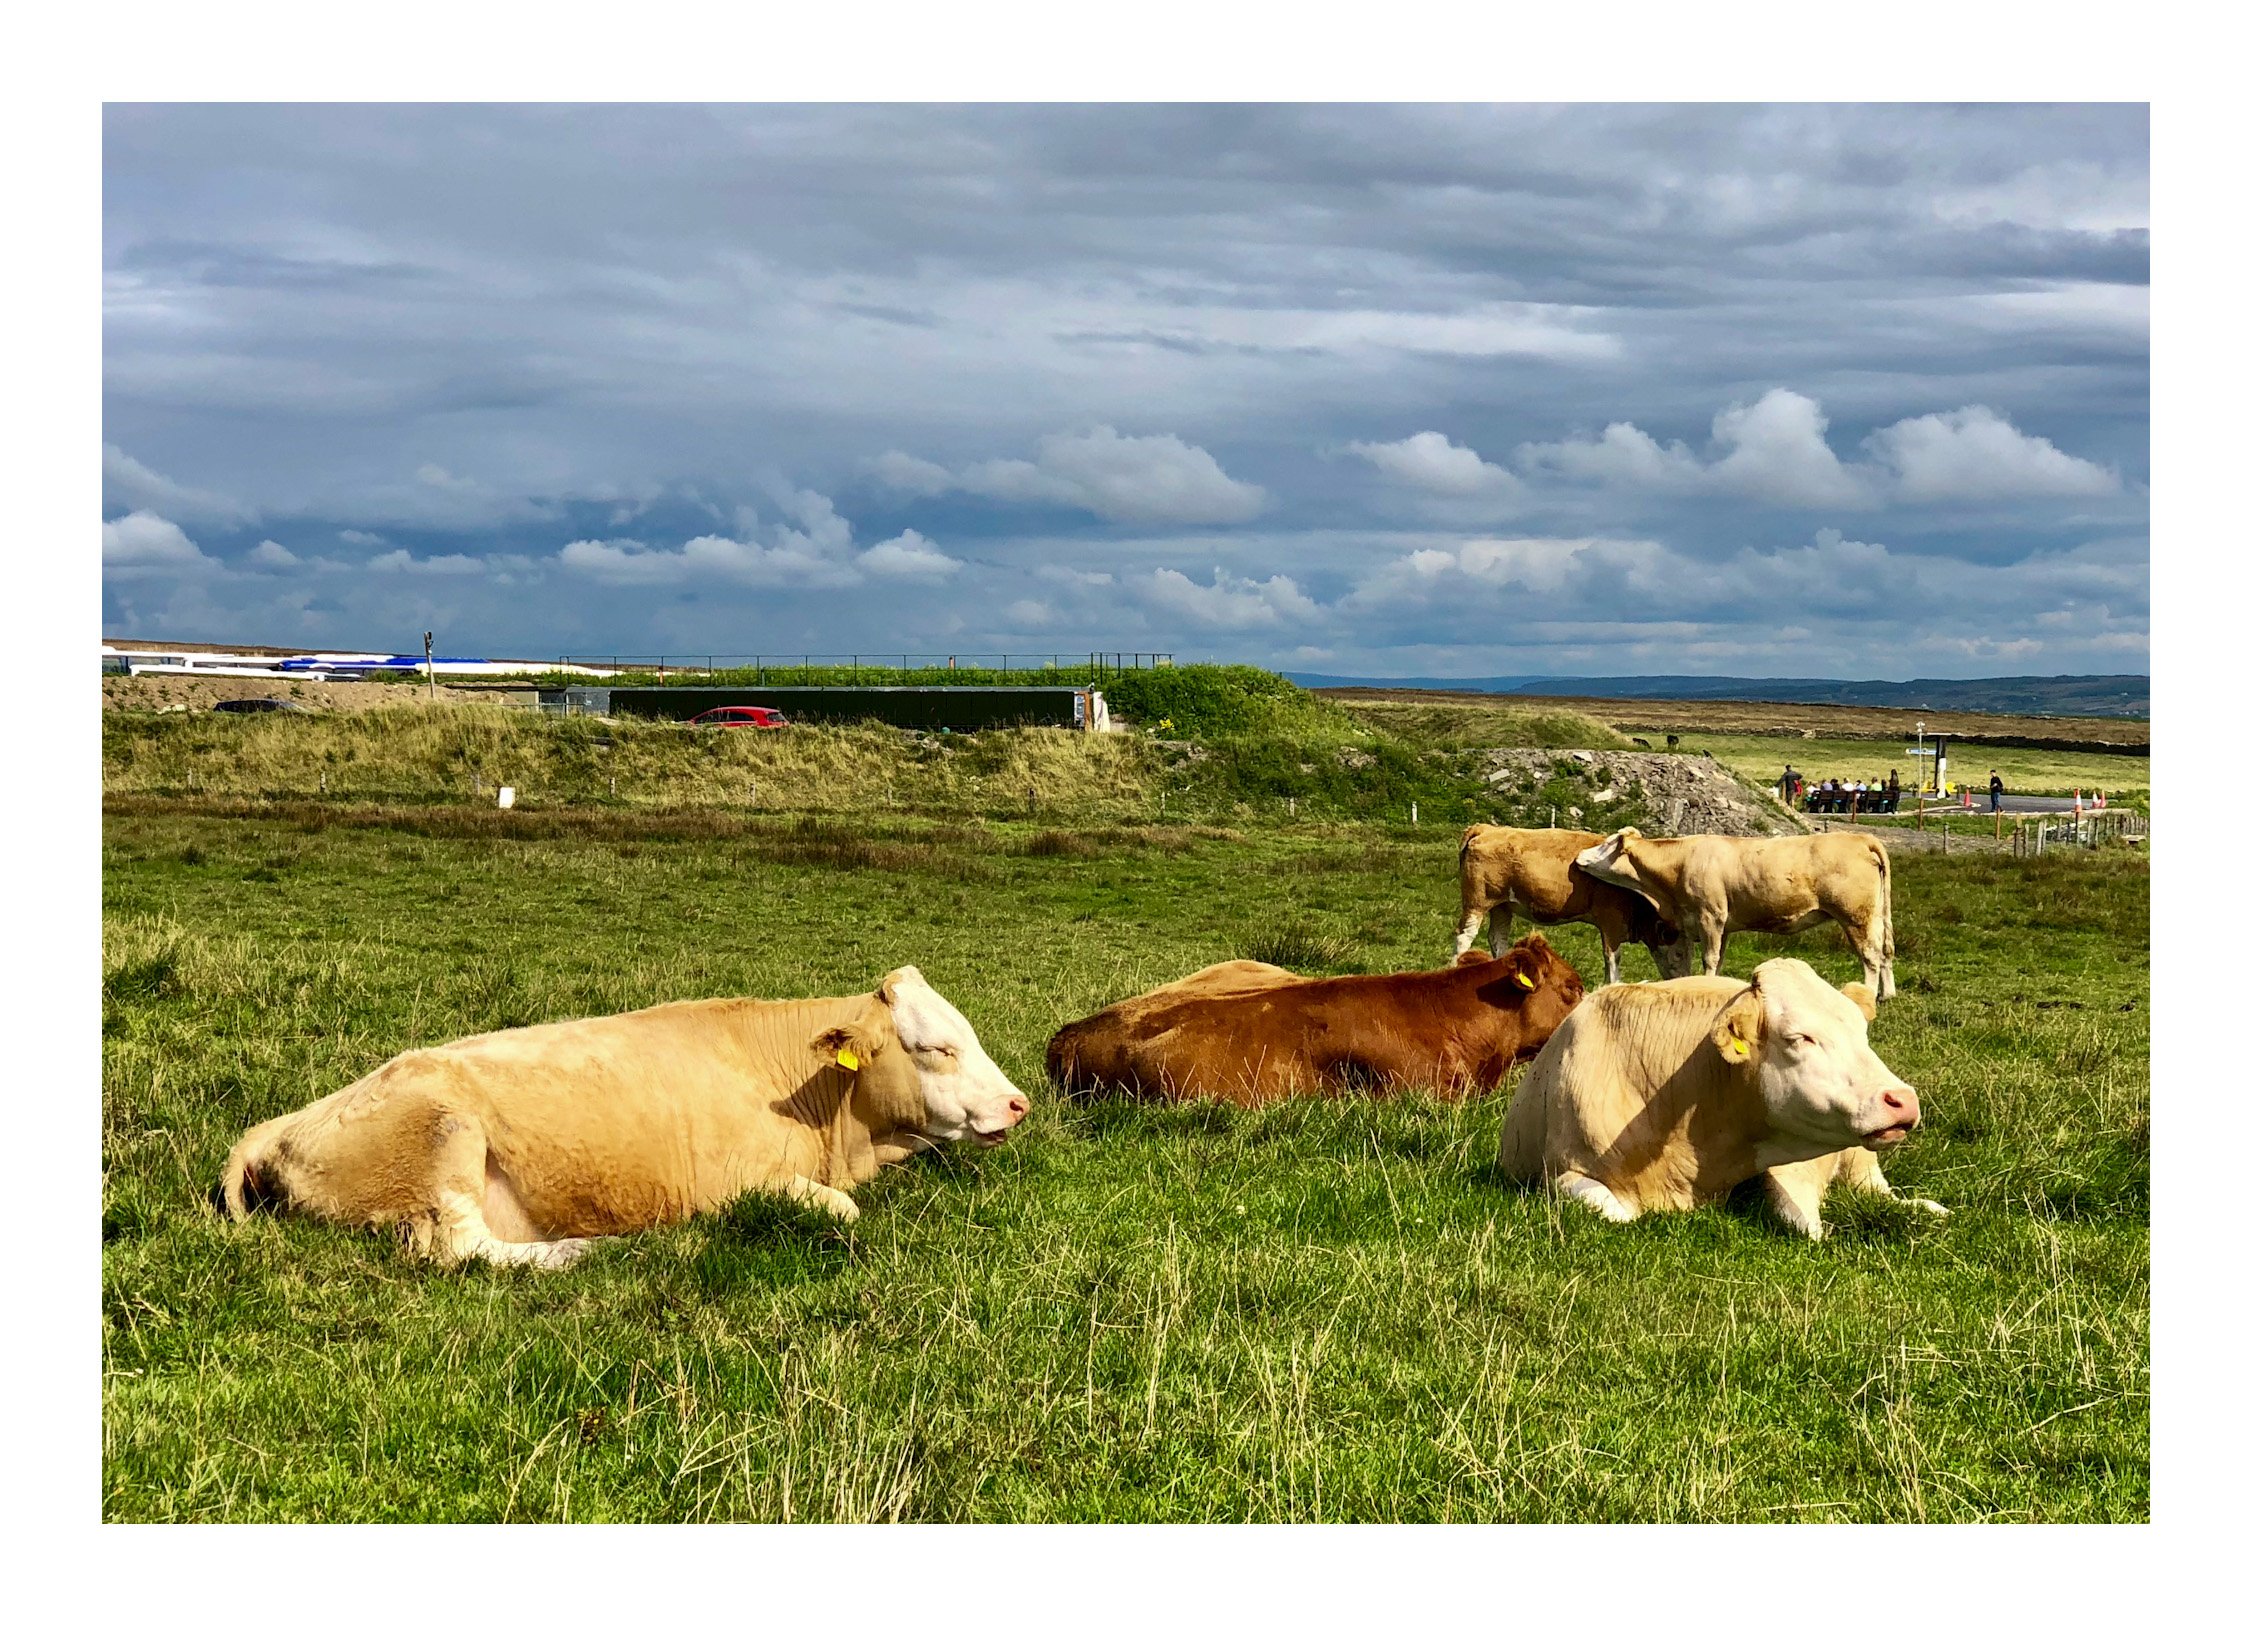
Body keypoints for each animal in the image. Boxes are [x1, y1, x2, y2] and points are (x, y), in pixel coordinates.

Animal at [217, 965, 1028, 1269]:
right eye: (939, 1047)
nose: (1019, 1102)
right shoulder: (739, 1186)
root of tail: (274, 1127)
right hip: (445, 1136)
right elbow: (843, 1210)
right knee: (459, 1246)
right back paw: (582, 1249)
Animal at [1454, 823, 1691, 984]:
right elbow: (1613, 958)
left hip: (1502, 906)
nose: (1686, 978)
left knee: (1498, 939)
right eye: (1679, 954)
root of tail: (1488, 829)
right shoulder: (1611, 920)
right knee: (1464, 936)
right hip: (1477, 901)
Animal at [1498, 958, 1945, 1239]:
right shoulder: (1561, 1174)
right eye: (1800, 1037)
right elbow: (1616, 1213)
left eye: (1862, 1032)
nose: (1902, 1099)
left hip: (1860, 1162)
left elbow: (1800, 1218)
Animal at [1575, 826, 1897, 997]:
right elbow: (1719, 959)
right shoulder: (1724, 925)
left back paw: (1868, 993)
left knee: (1870, 956)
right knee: (1884, 953)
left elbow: (1709, 958)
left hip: (1856, 916)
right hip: (1875, 917)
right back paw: (1887, 994)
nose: (1578, 856)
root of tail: (1859, 838)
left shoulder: (1711, 916)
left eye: (1606, 845)